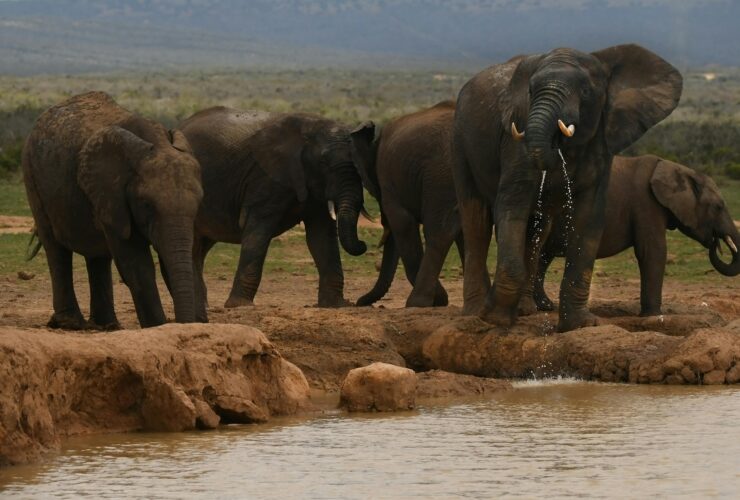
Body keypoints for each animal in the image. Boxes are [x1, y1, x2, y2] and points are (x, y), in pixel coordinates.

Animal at [22, 91, 204, 329]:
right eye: (146, 205)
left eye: (198, 204)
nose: (186, 323)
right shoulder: (113, 196)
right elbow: (137, 264)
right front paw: (158, 328)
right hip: (32, 176)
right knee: (55, 247)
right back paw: (70, 324)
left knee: (97, 256)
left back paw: (106, 326)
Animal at [177, 107, 375, 318]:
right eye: (323, 161)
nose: (364, 244)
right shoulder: (265, 178)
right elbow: (258, 232)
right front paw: (240, 306)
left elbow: (321, 237)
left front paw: (336, 305)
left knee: (200, 247)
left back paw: (203, 306)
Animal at [355, 101, 463, 307]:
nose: (358, 301)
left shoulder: (388, 182)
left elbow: (402, 222)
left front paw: (438, 299)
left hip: (439, 175)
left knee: (437, 232)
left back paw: (417, 303)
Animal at [452, 43, 682, 331]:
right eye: (530, 91)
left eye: (585, 91)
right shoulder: (516, 142)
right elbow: (512, 204)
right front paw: (494, 320)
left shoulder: (602, 141)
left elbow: (588, 218)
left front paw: (580, 325)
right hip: (461, 144)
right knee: (476, 221)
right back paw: (475, 312)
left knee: (537, 228)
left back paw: (526, 310)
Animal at [530, 155, 740, 316]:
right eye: (718, 207)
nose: (715, 241)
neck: (678, 168)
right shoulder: (646, 204)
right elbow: (653, 252)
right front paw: (653, 316)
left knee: (543, 257)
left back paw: (545, 307)